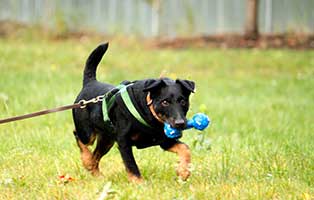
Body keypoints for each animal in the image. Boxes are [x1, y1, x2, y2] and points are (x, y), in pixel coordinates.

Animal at [72, 42, 195, 183]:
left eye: (183, 101)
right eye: (165, 102)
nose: (180, 123)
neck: (148, 112)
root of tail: (89, 83)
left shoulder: (164, 140)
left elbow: (185, 148)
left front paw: (184, 171)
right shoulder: (123, 141)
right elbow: (131, 164)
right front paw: (139, 183)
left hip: (107, 139)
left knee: (96, 155)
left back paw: (96, 173)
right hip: (88, 133)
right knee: (79, 136)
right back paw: (87, 160)